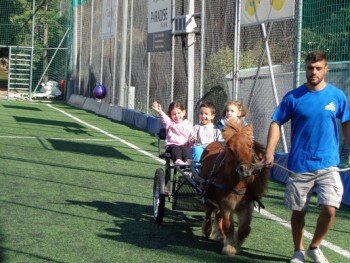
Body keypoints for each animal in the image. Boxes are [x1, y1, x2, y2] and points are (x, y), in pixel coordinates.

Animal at [200, 120, 268, 256]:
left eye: (250, 146)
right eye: (231, 149)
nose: (245, 169)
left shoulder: (246, 205)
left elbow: (245, 228)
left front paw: (236, 243)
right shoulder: (226, 204)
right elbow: (228, 225)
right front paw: (230, 247)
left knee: (217, 216)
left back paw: (220, 235)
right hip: (208, 194)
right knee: (209, 212)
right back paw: (208, 229)